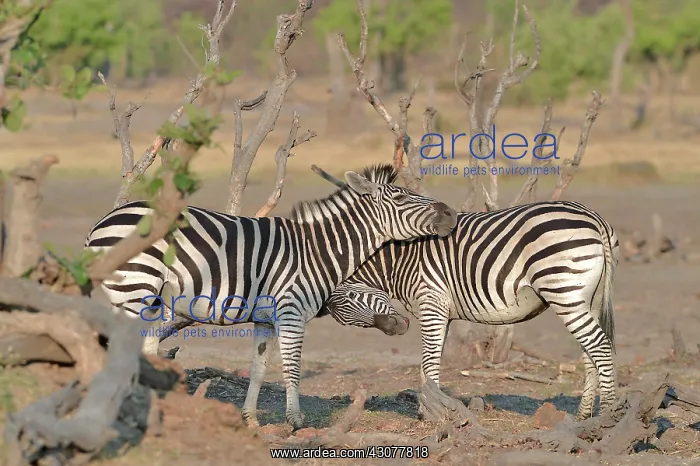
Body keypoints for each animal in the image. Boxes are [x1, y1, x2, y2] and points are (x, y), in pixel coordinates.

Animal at [83, 164, 457, 430]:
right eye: (401, 198)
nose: (451, 213)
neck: (314, 252)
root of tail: (102, 222)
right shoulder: (291, 311)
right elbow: (292, 366)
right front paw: (296, 421)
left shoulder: (264, 318)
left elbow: (259, 368)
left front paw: (250, 419)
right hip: (135, 287)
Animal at [317, 170, 619, 421]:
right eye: (350, 321)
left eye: (351, 297)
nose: (398, 328)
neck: (398, 259)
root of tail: (594, 218)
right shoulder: (441, 312)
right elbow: (430, 363)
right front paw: (433, 409)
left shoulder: (431, 303)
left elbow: (429, 362)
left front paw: (431, 415)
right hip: (587, 297)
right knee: (589, 352)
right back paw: (583, 416)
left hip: (563, 289)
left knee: (599, 346)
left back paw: (606, 418)